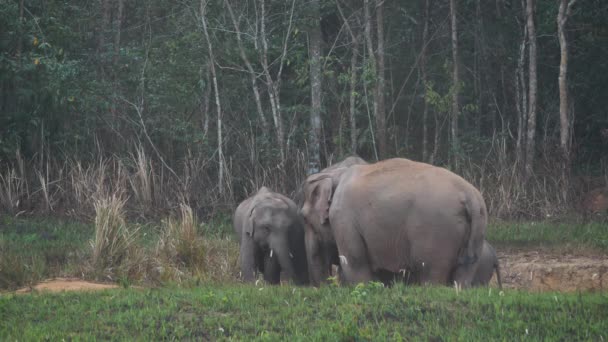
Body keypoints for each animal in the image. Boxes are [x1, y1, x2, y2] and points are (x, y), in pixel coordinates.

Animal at [300, 159, 490, 288]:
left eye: (303, 217)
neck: (337, 174)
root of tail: (470, 196)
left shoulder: (343, 218)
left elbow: (355, 264)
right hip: (477, 229)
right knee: (464, 273)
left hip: (437, 232)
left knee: (431, 274)